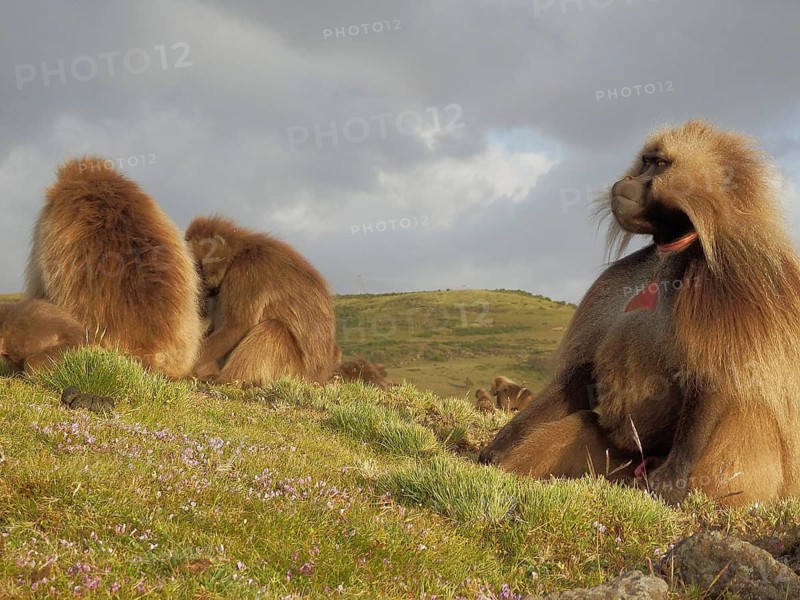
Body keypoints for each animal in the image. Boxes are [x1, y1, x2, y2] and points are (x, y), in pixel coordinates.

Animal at [186, 215, 338, 386]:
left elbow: (237, 327)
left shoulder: (247, 273)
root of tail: (318, 378)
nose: (198, 288)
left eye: (198, 267)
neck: (238, 254)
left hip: (292, 373)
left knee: (272, 328)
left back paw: (223, 380)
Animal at [479, 120, 800, 506]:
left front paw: (671, 480)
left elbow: (718, 377)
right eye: (645, 161)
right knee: (584, 423)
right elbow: (580, 378)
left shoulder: (728, 285)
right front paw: (499, 445)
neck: (676, 249)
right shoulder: (616, 282)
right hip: (619, 465)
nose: (624, 182)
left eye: (659, 165)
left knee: (744, 410)